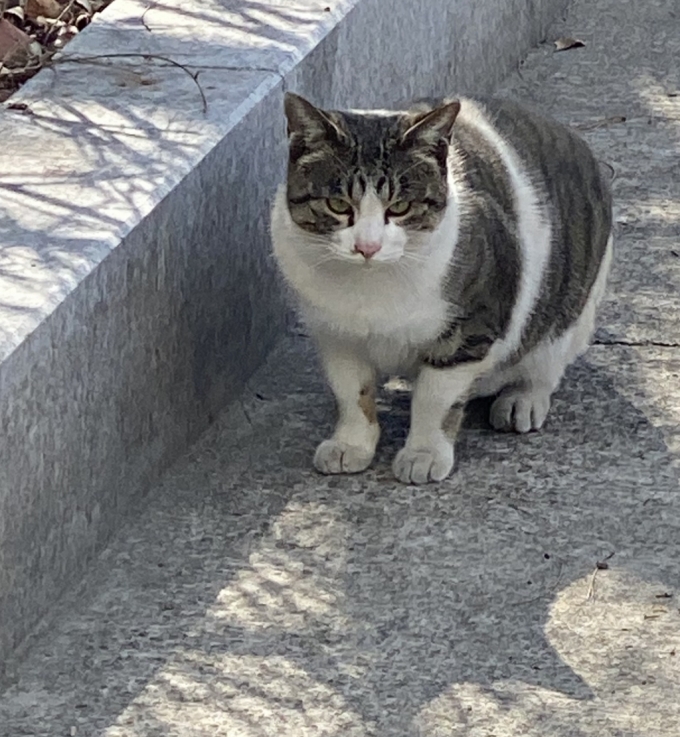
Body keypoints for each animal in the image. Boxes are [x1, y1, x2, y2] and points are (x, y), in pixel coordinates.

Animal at [270, 92, 612, 484]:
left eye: (400, 206)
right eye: (338, 204)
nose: (367, 247)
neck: (370, 290)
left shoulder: (469, 329)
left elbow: (434, 397)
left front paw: (424, 453)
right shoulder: (336, 336)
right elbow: (352, 391)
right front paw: (351, 444)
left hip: (573, 309)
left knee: (547, 360)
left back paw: (522, 399)